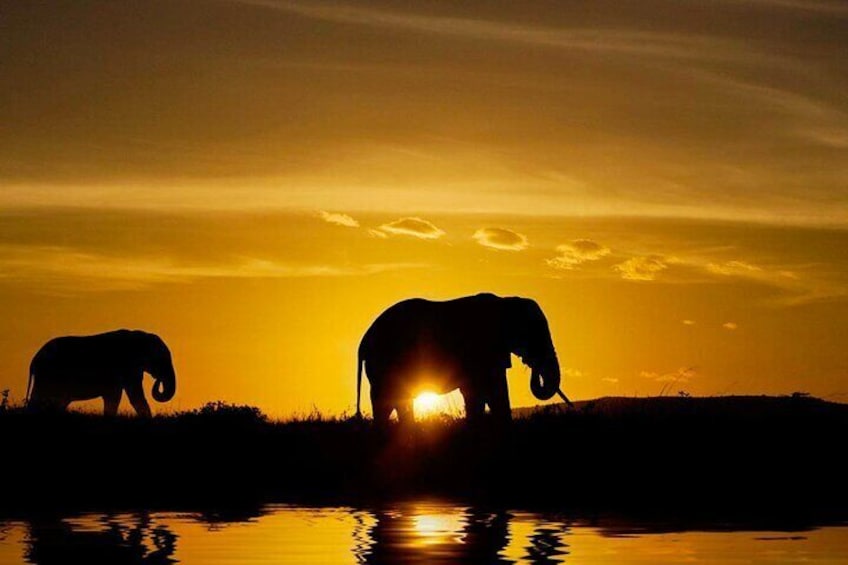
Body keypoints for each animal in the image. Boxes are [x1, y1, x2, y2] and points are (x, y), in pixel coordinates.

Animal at [26, 329, 176, 417]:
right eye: (161, 360)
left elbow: (115, 397)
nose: (158, 380)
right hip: (47, 376)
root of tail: (34, 360)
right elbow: (133, 396)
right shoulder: (127, 367)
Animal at [356, 293, 561, 424]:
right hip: (384, 363)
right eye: (534, 333)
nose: (533, 365)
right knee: (388, 401)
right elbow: (491, 391)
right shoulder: (483, 349)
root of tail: (364, 340)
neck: (505, 302)